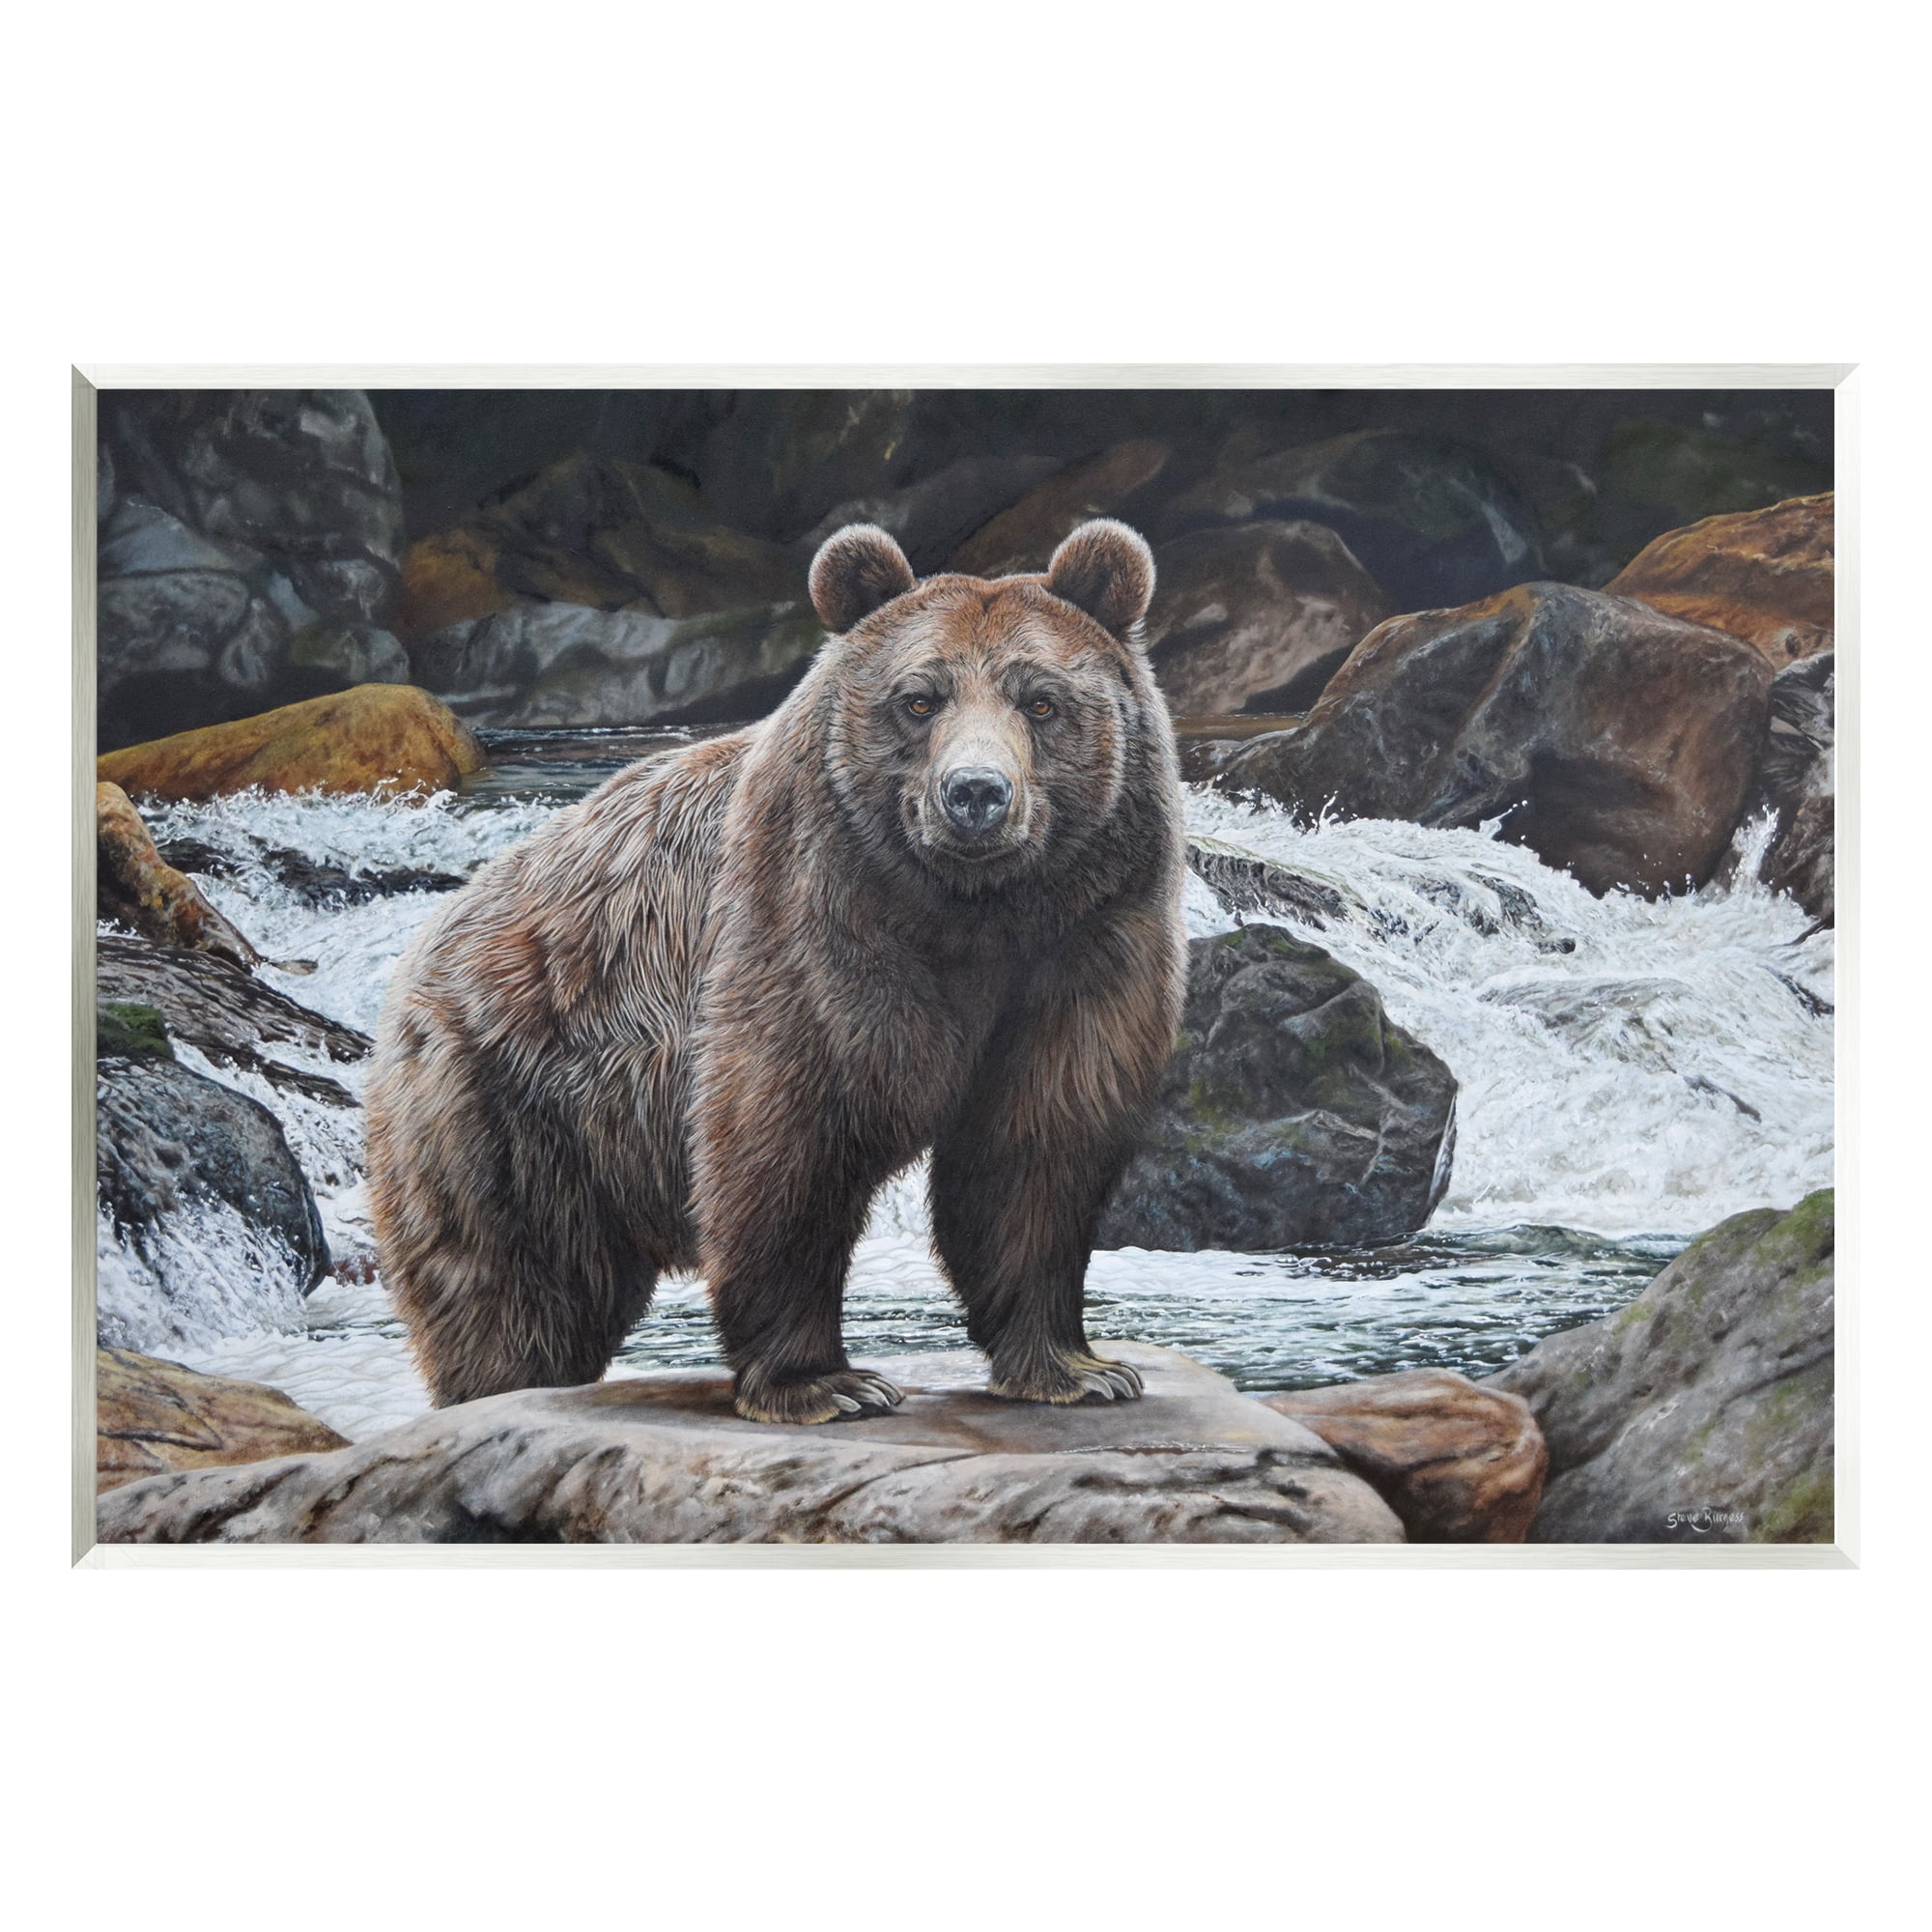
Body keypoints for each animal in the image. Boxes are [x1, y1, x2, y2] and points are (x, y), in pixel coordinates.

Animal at [365, 518, 1186, 1424]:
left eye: (1041, 701)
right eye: (919, 699)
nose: (976, 794)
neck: (976, 912)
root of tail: (427, 946)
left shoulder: (1086, 941)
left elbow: (1036, 1145)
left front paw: (1076, 1367)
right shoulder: (811, 918)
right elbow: (787, 1132)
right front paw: (827, 1383)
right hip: (511, 1100)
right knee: (514, 1284)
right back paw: (499, 1386)